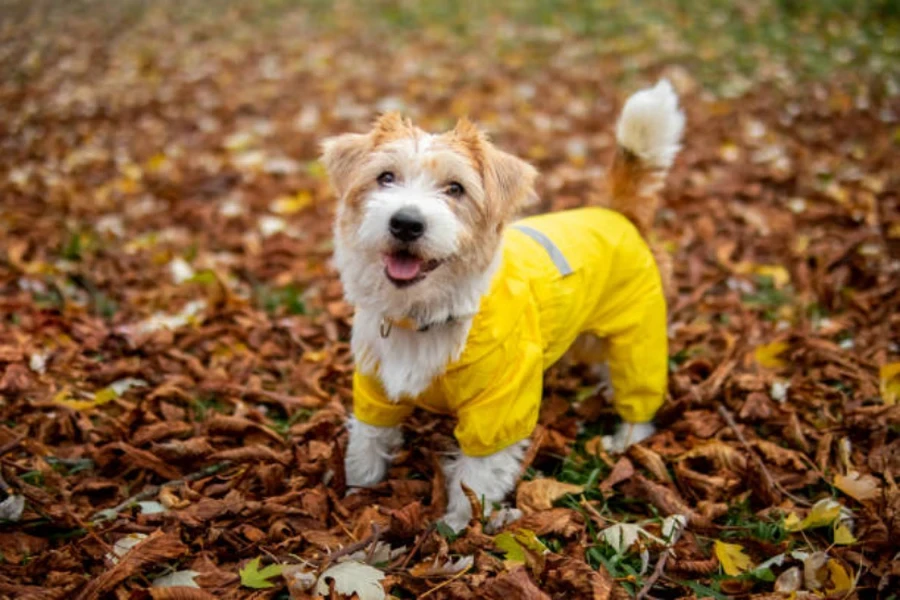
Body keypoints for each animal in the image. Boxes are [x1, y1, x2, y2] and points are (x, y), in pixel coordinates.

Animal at [324, 78, 684, 528]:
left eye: (455, 188)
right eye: (385, 177)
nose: (406, 223)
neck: (426, 314)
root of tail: (618, 213)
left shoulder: (498, 407)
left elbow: (476, 475)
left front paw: (458, 527)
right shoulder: (373, 386)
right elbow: (368, 441)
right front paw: (357, 494)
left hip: (638, 334)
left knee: (639, 388)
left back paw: (626, 438)